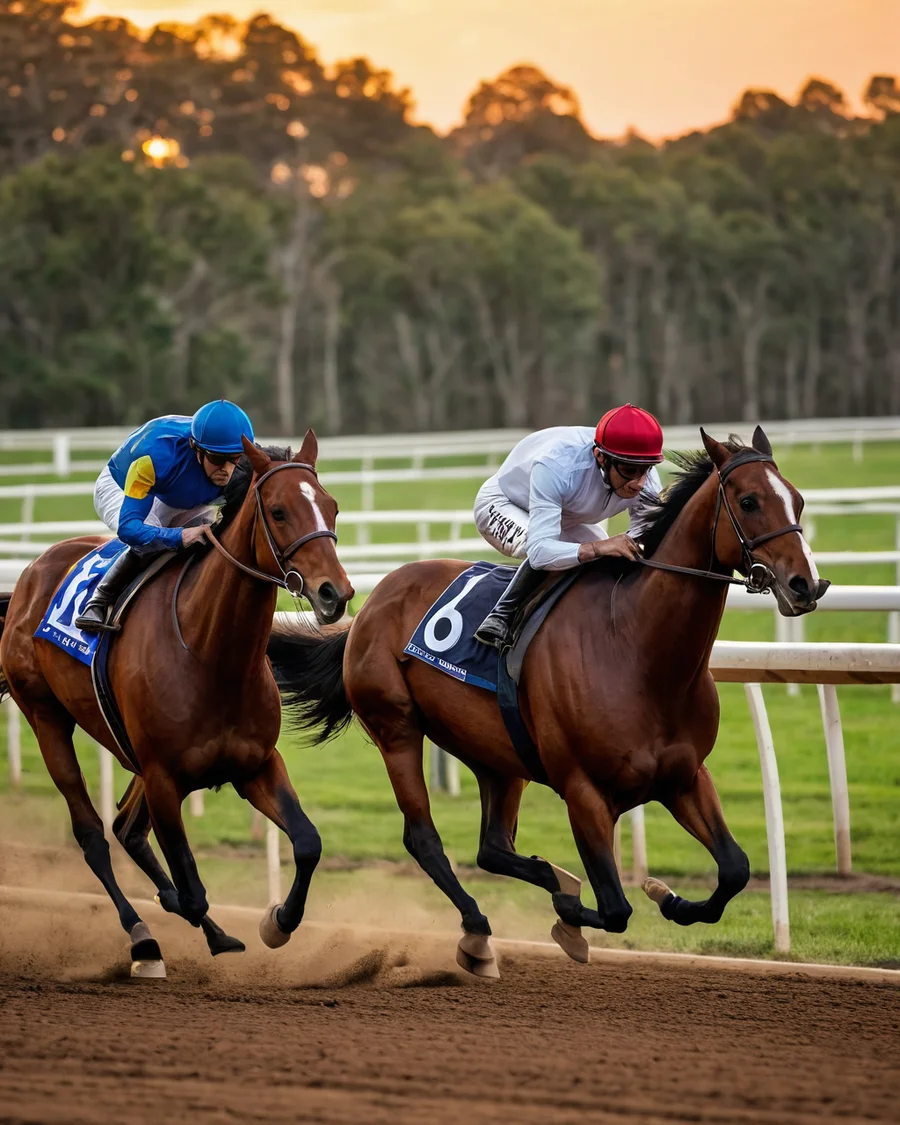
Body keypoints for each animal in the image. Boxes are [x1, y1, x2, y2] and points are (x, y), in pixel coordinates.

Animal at [0, 432, 353, 976]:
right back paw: (143, 938)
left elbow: (308, 843)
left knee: (126, 830)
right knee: (94, 836)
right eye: (277, 512)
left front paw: (276, 922)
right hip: (45, 717)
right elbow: (192, 890)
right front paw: (182, 918)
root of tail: (29, 575)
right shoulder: (164, 777)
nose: (335, 594)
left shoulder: (255, 764)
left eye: (332, 507)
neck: (213, 656)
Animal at [267, 428, 830, 977]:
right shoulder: (583, 792)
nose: (807, 583)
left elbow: (734, 869)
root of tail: (371, 603)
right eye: (750, 501)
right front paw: (570, 916)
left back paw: (541, 884)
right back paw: (478, 930)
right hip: (396, 728)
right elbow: (616, 908)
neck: (637, 651)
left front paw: (666, 897)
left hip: (495, 754)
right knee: (424, 838)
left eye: (798, 500)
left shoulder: (685, 775)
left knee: (492, 847)